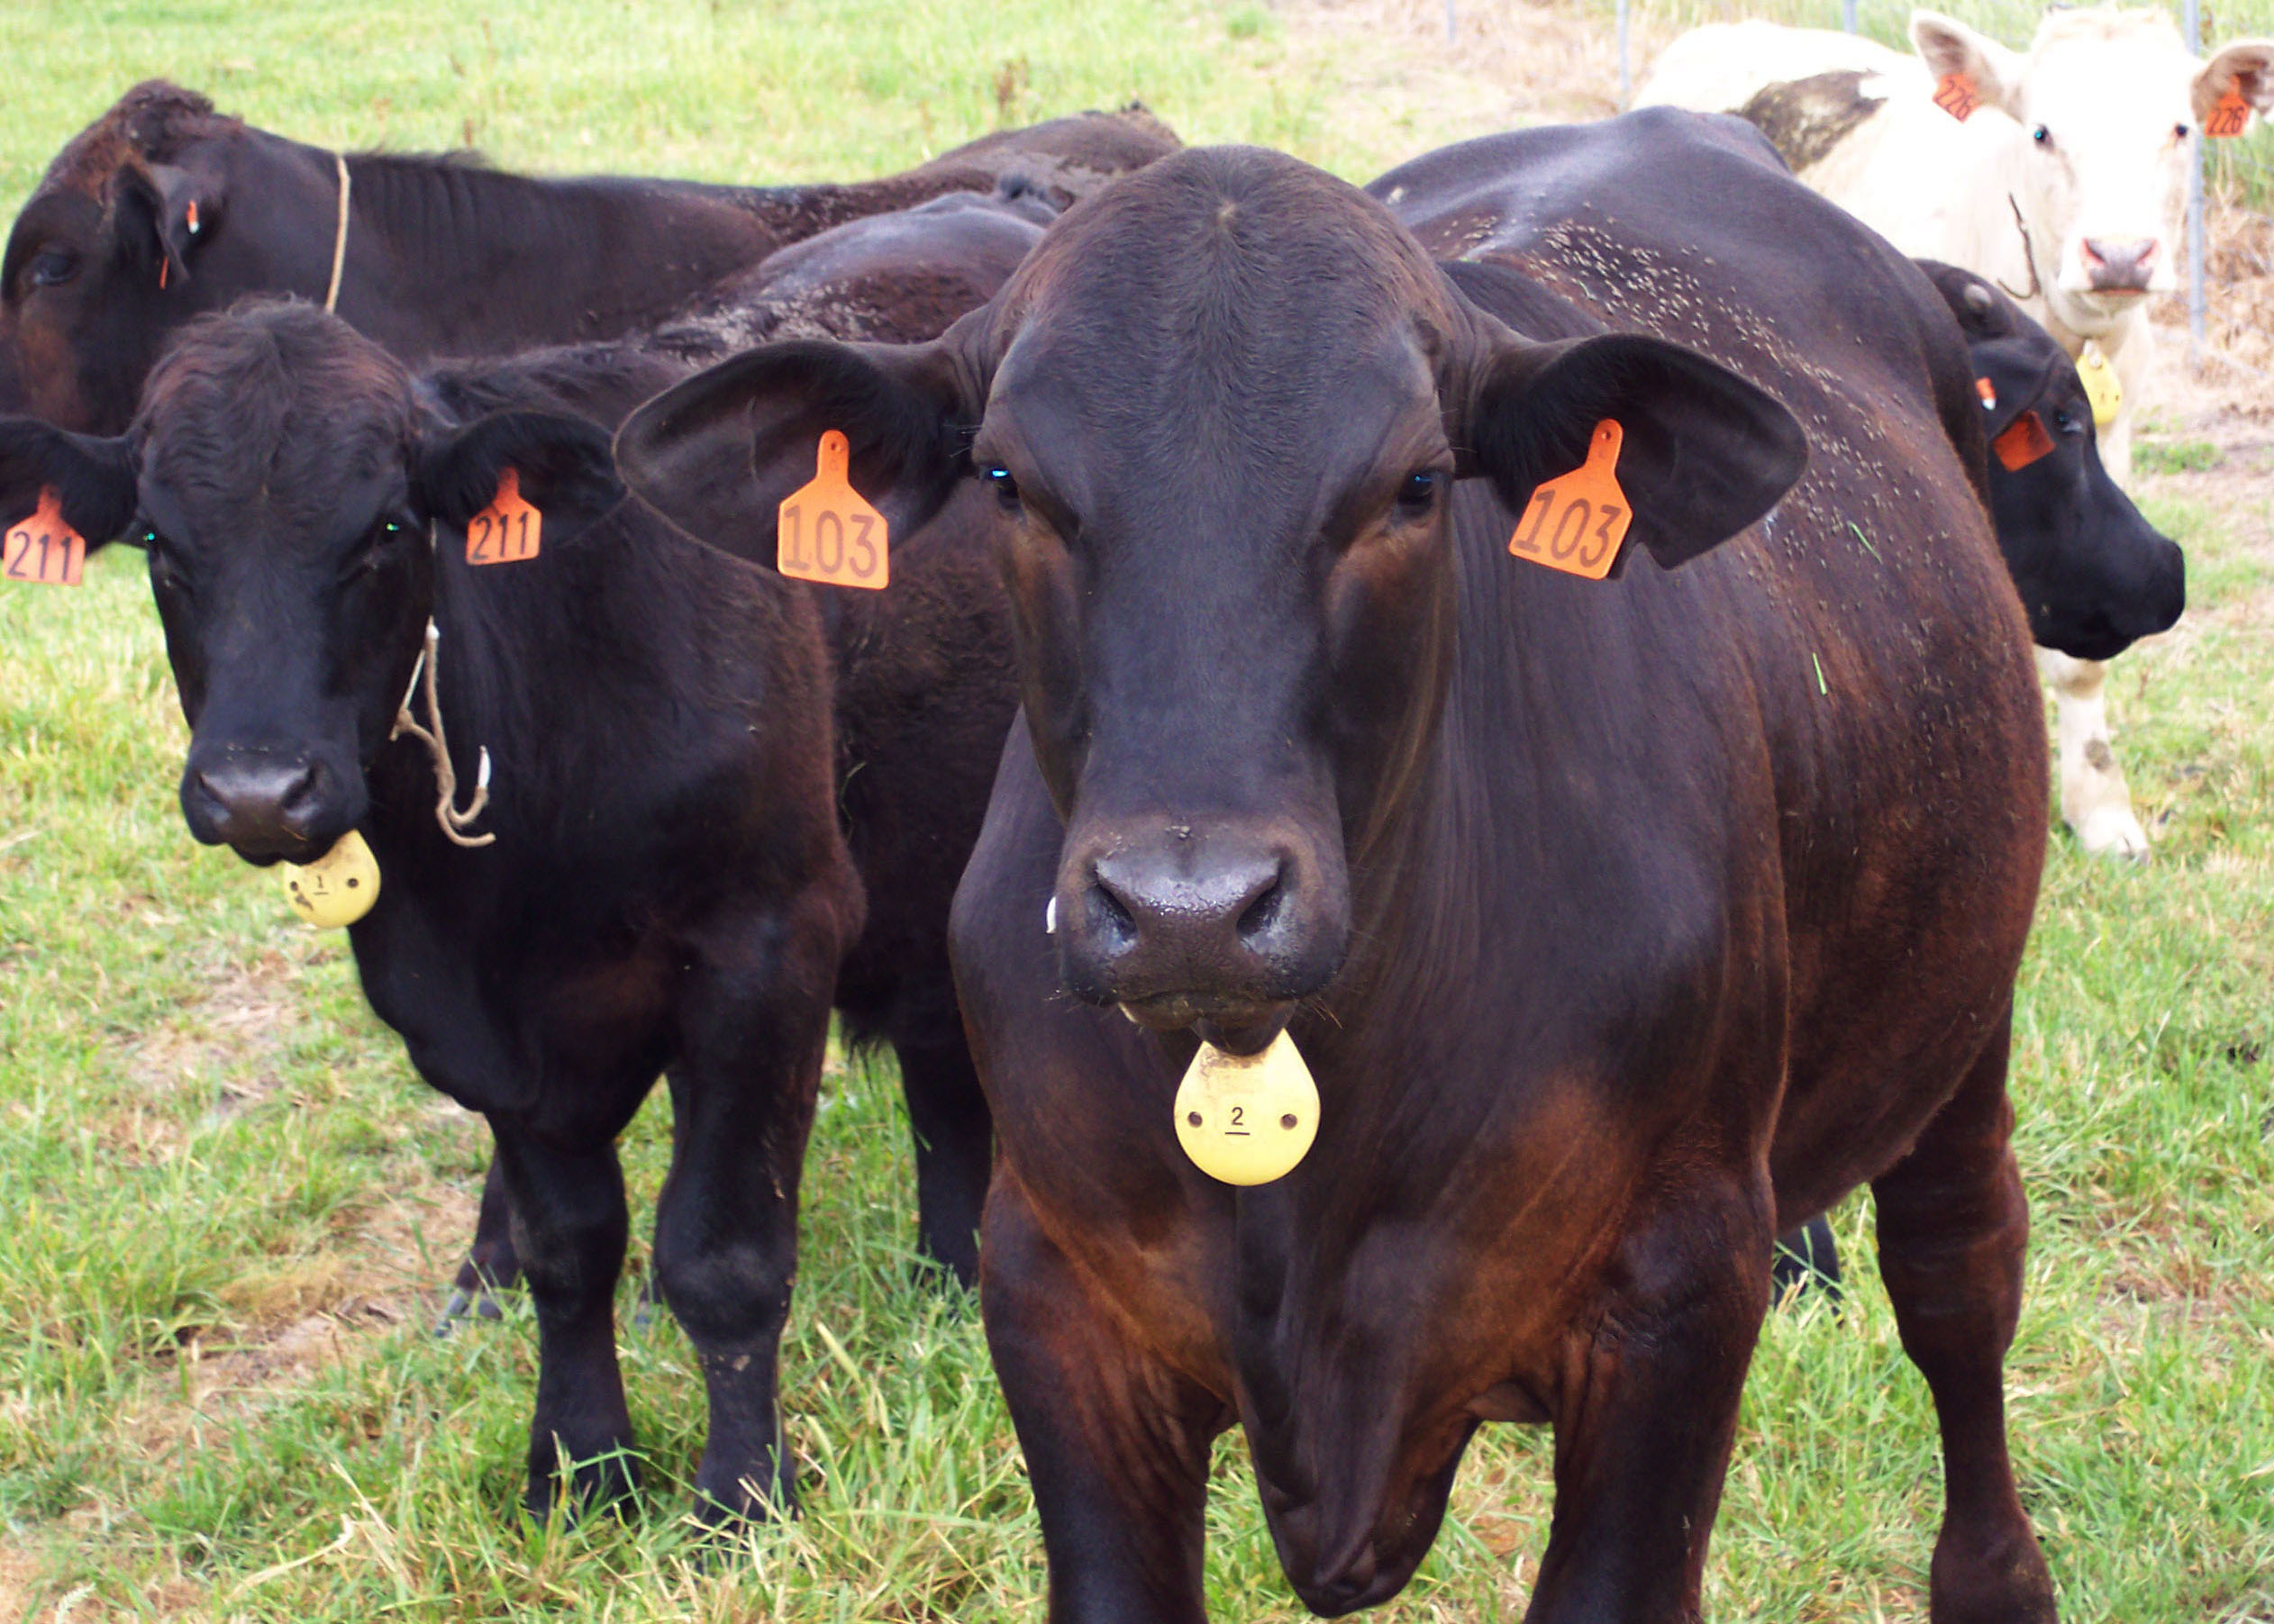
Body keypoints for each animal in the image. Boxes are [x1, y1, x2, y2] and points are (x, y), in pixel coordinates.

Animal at [0, 300, 873, 1524]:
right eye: (162, 546)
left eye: (384, 530)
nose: (258, 791)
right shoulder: (467, 1013)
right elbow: (568, 1245)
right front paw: (579, 1469)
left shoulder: (775, 938)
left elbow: (727, 1252)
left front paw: (742, 1499)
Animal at [617, 113, 2057, 1619]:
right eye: (1008, 481)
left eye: (1415, 484)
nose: (1189, 911)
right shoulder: (1055, 1294)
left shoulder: (1682, 1293)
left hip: (1964, 1014)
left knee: (1959, 1274)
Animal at [1637, 6, 2268, 857]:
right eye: (2041, 131)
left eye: (2180, 128)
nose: (2120, 255)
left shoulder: (2111, 455)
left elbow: (2081, 651)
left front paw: (2102, 808)